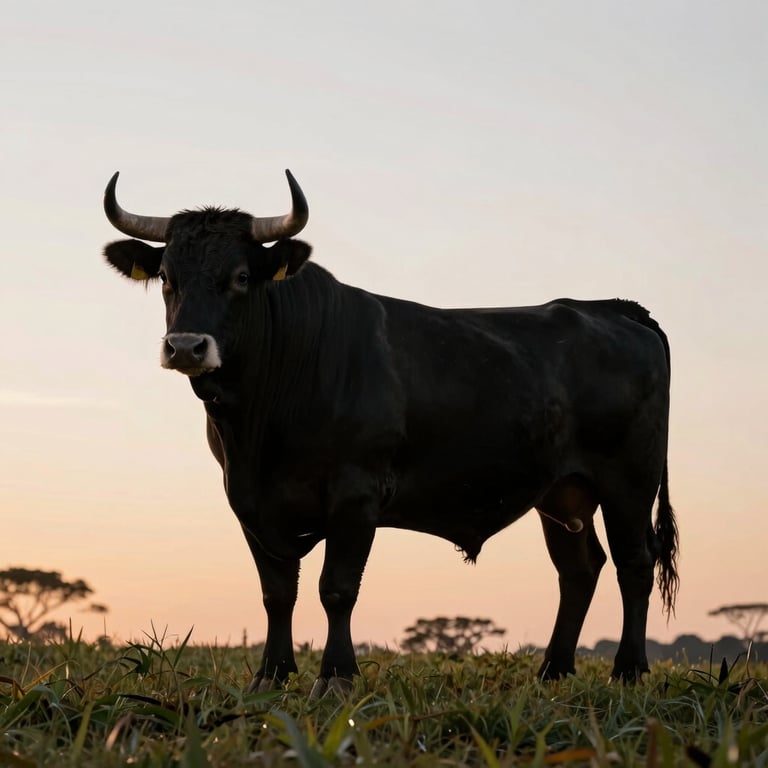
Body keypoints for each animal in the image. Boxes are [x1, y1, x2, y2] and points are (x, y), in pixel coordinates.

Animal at [102, 170, 678, 697]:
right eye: (166, 276)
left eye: (242, 276)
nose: (186, 346)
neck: (260, 420)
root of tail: (613, 309)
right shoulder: (247, 501)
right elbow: (276, 592)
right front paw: (271, 676)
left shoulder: (355, 495)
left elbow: (336, 588)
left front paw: (335, 677)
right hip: (563, 493)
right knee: (579, 569)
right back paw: (553, 671)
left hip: (629, 481)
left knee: (634, 563)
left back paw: (628, 671)